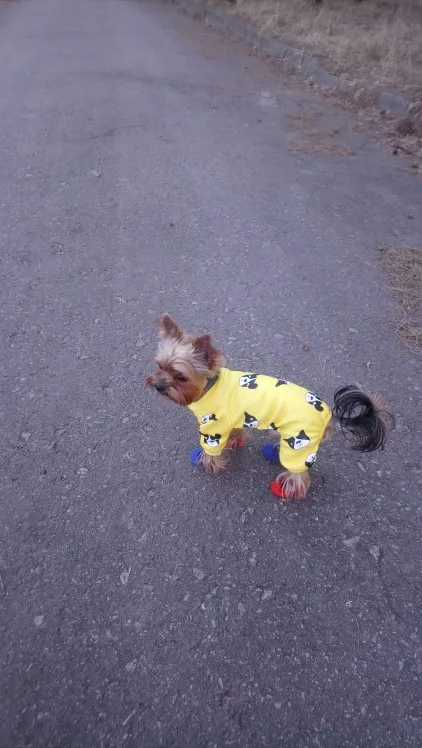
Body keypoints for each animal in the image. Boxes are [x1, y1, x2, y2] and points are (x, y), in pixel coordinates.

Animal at [145, 314, 394, 499]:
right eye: (159, 366)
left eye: (180, 377)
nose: (157, 385)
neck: (210, 386)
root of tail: (328, 414)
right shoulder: (231, 422)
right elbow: (236, 432)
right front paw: (234, 442)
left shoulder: (212, 428)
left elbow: (211, 449)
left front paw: (208, 463)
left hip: (300, 442)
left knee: (300, 474)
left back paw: (287, 488)